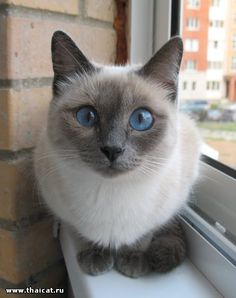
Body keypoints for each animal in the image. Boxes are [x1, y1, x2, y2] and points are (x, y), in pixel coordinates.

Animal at [34, 30, 201, 278]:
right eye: (87, 116)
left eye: (141, 119)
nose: (112, 149)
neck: (110, 192)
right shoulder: (64, 209)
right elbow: (88, 234)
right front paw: (97, 256)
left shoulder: (162, 214)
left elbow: (143, 237)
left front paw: (132, 260)